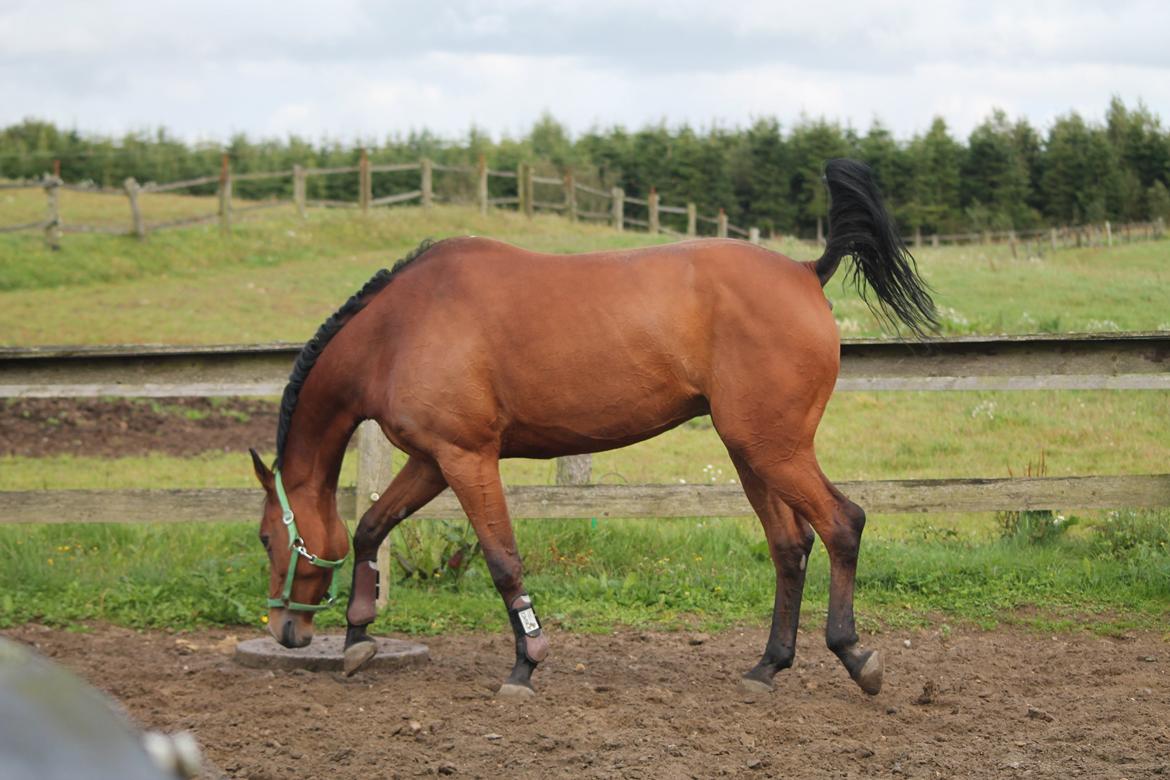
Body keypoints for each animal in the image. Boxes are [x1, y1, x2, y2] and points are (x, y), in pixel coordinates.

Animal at [251, 161, 935, 696]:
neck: (401, 328)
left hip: (774, 450)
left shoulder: (467, 457)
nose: (286, 631)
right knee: (790, 547)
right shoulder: (430, 461)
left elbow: (503, 561)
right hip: (752, 453)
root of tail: (804, 271)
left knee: (843, 524)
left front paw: (525, 664)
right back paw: (768, 665)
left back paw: (854, 654)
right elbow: (370, 526)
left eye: (264, 538)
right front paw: (358, 637)